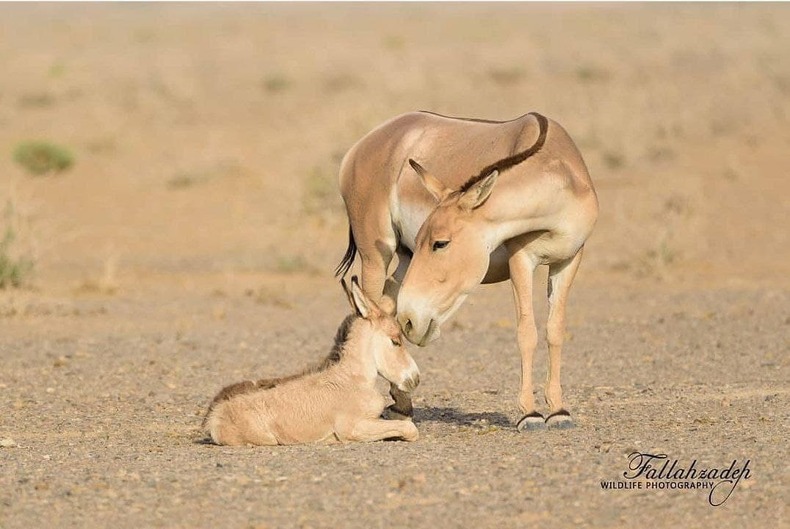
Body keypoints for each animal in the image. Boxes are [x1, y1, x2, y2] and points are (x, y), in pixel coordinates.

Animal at [204, 276, 420, 446]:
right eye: (395, 341)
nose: (415, 378)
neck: (351, 379)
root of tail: (213, 415)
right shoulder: (353, 427)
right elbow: (409, 428)